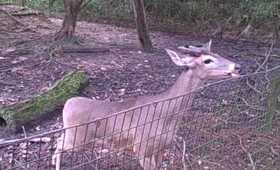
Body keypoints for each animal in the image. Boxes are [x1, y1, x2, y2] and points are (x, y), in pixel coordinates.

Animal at [51, 39, 240, 169]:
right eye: (207, 60)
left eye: (218, 54)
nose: (237, 67)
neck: (166, 114)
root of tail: (67, 102)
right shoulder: (142, 147)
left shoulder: (162, 148)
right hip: (76, 137)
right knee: (58, 145)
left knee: (58, 141)